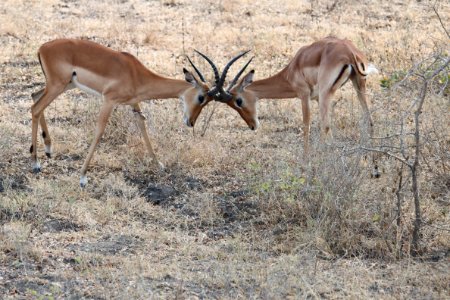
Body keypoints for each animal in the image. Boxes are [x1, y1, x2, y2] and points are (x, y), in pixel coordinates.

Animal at [29, 38, 236, 186]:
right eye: (201, 98)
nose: (191, 122)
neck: (136, 74)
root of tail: (42, 48)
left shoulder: (134, 104)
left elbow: (143, 128)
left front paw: (159, 165)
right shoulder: (109, 101)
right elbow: (99, 132)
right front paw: (82, 178)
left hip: (63, 86)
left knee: (34, 96)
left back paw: (48, 149)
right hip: (58, 86)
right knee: (35, 108)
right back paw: (36, 163)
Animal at [199, 37, 378, 155]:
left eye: (238, 101)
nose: (252, 126)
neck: (292, 69)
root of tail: (350, 52)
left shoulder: (304, 96)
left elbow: (306, 126)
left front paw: (306, 159)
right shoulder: (316, 98)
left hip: (327, 92)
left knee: (325, 125)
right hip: (357, 85)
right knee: (368, 119)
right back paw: (372, 167)